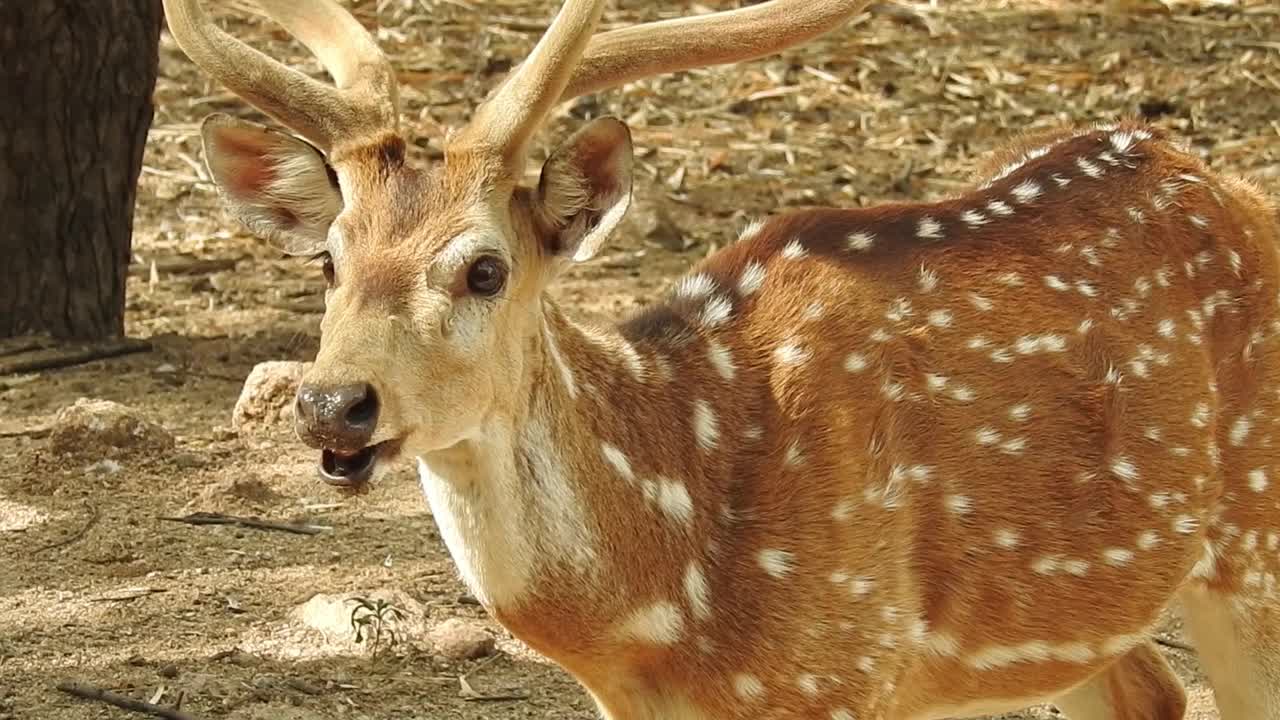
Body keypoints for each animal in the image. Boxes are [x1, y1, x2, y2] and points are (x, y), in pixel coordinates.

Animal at [162, 0, 1280, 712]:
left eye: (483, 269)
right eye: (328, 259)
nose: (333, 404)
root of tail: (1223, 183)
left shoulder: (847, 672)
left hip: (1254, 546)